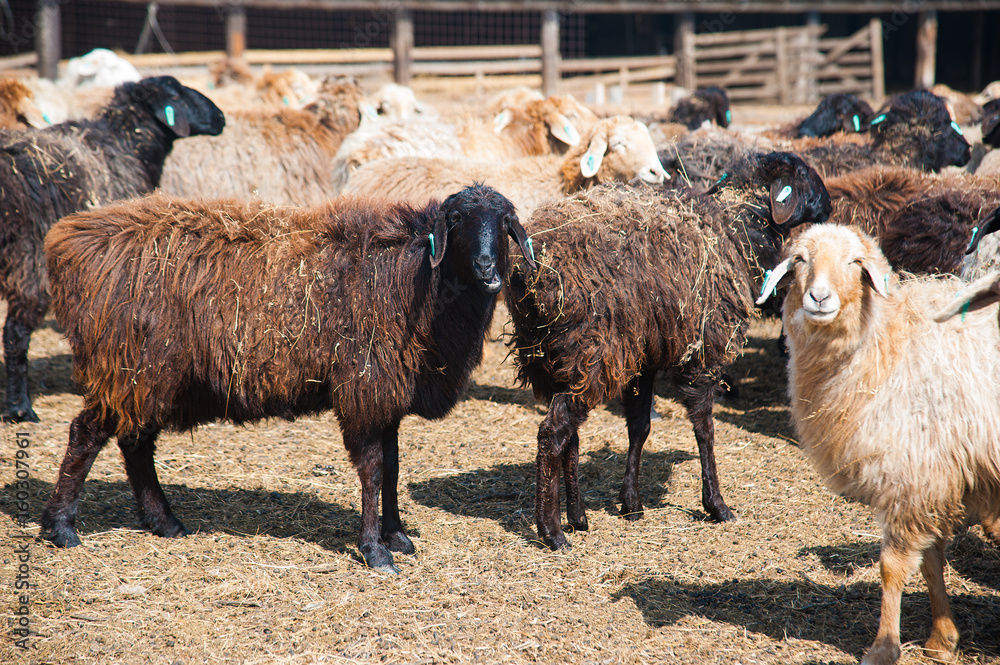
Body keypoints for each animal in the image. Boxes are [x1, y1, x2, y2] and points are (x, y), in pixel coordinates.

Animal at [0, 76, 225, 423]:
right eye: (176, 95)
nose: (221, 117)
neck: (126, 146)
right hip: (28, 259)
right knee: (15, 333)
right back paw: (20, 408)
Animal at [40, 184, 536, 574]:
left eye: (504, 222)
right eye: (457, 220)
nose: (488, 269)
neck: (413, 276)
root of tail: (69, 240)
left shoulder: (387, 395)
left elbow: (393, 468)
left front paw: (396, 536)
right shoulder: (363, 390)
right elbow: (374, 471)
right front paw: (375, 550)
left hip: (148, 377)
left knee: (135, 442)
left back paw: (165, 523)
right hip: (128, 367)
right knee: (86, 435)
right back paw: (61, 528)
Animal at [504, 151, 832, 550]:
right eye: (804, 177)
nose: (831, 208)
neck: (736, 225)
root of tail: (532, 267)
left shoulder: (646, 357)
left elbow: (639, 427)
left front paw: (631, 503)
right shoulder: (703, 352)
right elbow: (705, 429)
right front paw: (716, 505)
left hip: (553, 357)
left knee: (571, 435)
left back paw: (577, 517)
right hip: (591, 355)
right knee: (552, 433)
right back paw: (552, 531)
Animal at [756, 223, 1000, 665]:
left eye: (855, 263)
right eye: (800, 260)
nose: (819, 297)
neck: (887, 348)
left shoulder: (912, 475)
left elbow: (892, 567)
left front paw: (884, 646)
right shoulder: (930, 481)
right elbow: (931, 562)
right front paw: (942, 638)